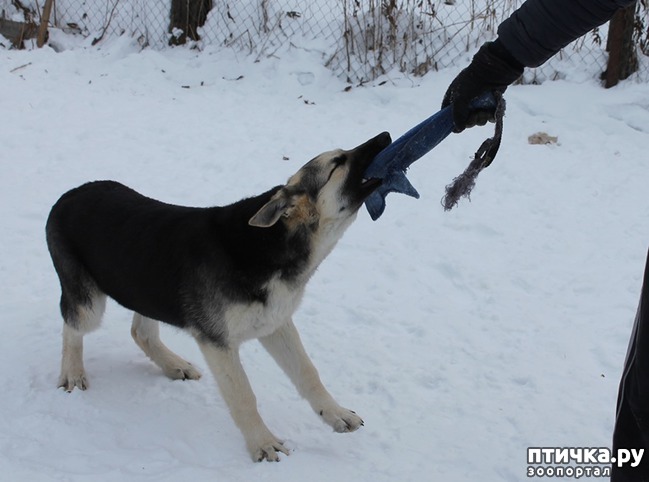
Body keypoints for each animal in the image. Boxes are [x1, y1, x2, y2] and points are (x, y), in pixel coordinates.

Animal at [46, 130, 390, 462]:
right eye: (337, 163)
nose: (386, 136)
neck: (271, 245)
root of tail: (68, 195)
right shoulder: (217, 342)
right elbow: (243, 396)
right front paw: (262, 443)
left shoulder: (276, 325)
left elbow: (308, 373)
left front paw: (335, 414)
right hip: (90, 305)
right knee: (73, 327)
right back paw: (73, 373)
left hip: (144, 288)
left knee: (140, 332)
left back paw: (173, 365)